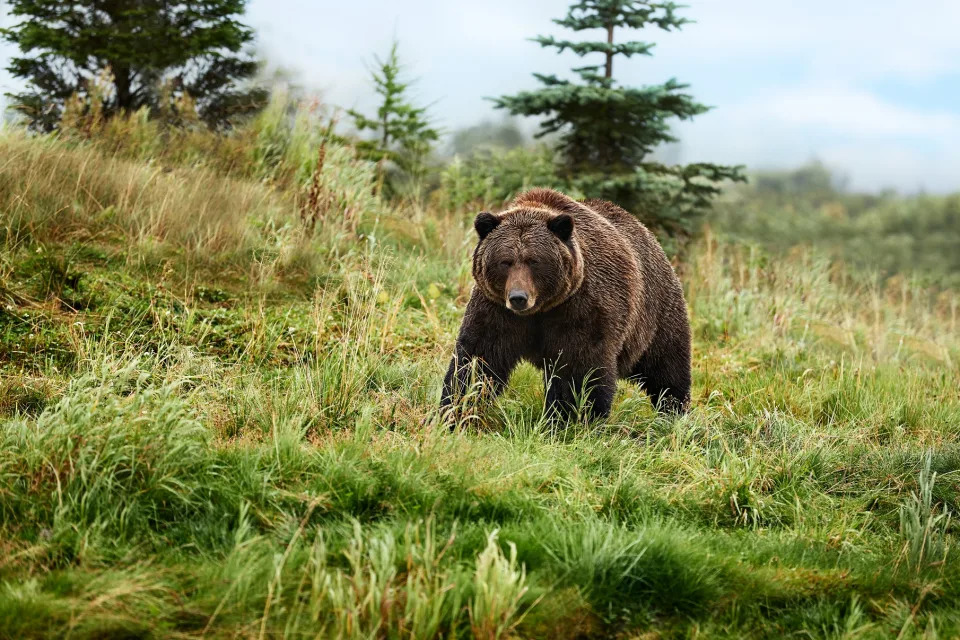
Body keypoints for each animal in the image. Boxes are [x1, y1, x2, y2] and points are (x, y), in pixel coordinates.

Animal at [442, 188, 688, 420]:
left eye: (534, 261)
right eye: (505, 261)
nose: (518, 297)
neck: (539, 311)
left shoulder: (580, 308)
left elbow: (579, 369)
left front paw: (571, 416)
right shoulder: (496, 310)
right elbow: (478, 360)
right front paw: (456, 410)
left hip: (654, 315)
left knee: (667, 368)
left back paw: (673, 411)